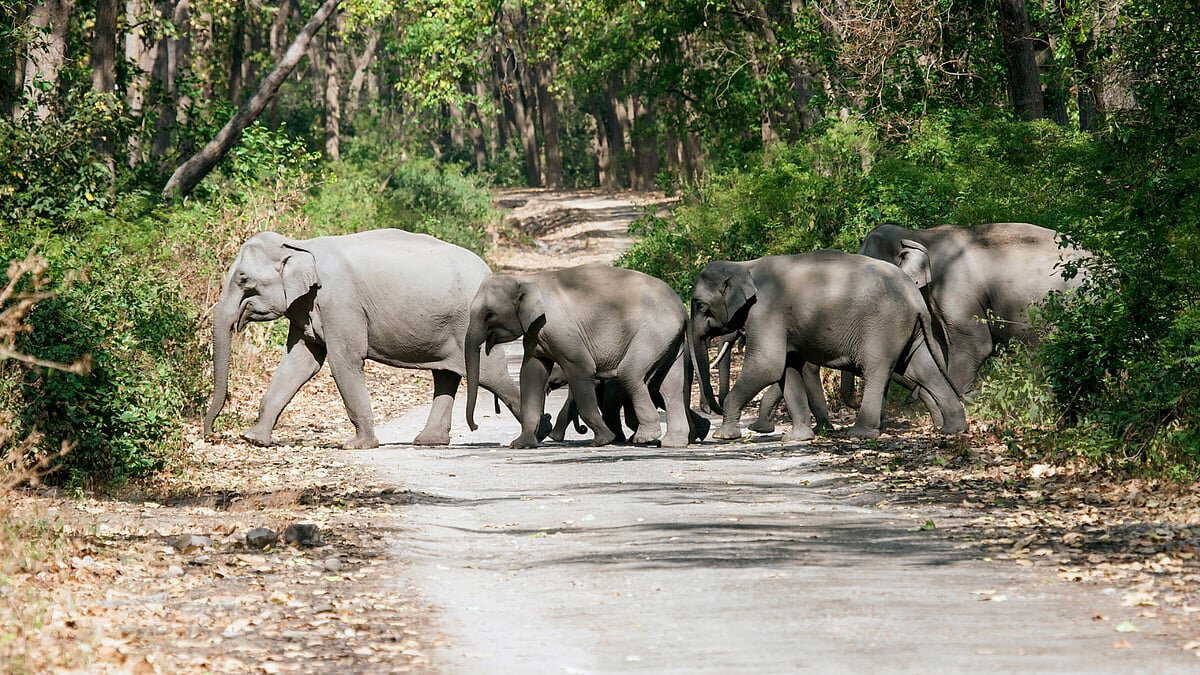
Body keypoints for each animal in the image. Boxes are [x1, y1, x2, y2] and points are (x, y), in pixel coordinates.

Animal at [201, 229, 524, 449]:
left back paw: (529, 438)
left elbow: (344, 361)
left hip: (471, 323)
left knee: (491, 375)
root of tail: (488, 271)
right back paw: (428, 441)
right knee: (446, 374)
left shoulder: (340, 302)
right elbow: (301, 363)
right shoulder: (306, 306)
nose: (210, 435)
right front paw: (254, 439)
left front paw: (357, 446)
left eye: (243, 279)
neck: (301, 245)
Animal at [464, 263, 705, 449]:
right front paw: (521, 445)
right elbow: (531, 374)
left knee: (632, 373)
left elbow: (582, 369)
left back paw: (644, 439)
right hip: (670, 339)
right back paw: (673, 443)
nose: (475, 426)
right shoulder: (534, 333)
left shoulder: (561, 330)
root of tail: (682, 308)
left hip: (653, 332)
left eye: (489, 315)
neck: (527, 280)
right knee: (670, 387)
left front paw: (602, 440)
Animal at [691, 251, 967, 440]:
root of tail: (916, 297)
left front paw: (724, 436)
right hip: (909, 329)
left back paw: (860, 433)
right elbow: (787, 369)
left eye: (701, 305)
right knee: (922, 369)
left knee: (878, 370)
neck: (744, 265)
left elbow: (767, 365)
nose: (709, 413)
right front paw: (797, 438)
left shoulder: (766, 312)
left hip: (883, 325)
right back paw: (953, 429)